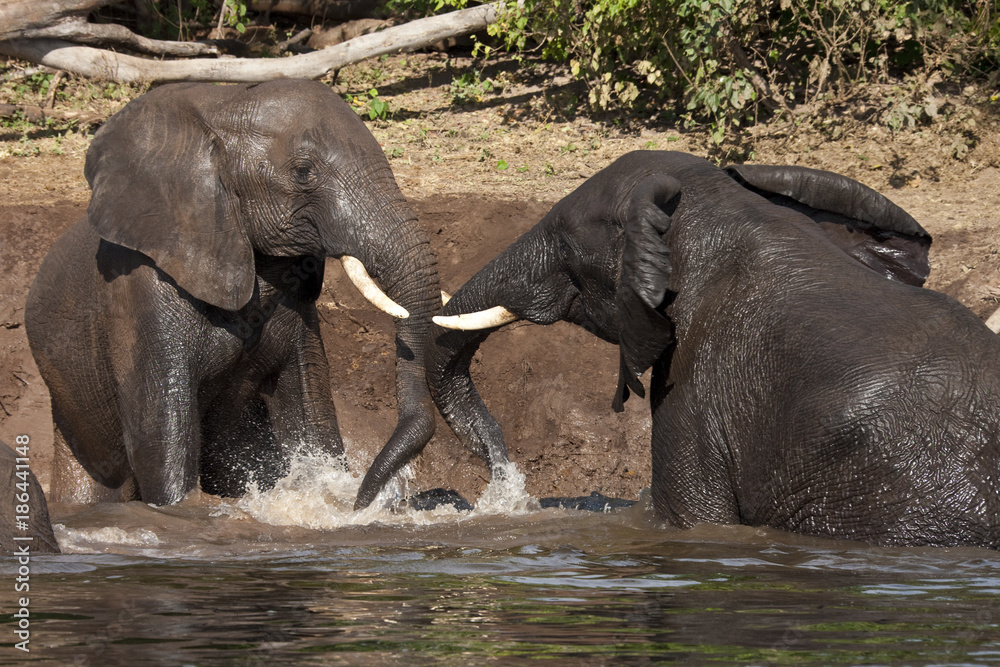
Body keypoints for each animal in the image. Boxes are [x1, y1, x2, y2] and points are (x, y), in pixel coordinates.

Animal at [26, 79, 439, 507]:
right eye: (303, 172)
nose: (362, 501)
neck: (222, 105)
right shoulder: (139, 294)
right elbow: (159, 446)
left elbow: (310, 415)